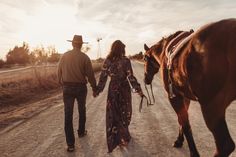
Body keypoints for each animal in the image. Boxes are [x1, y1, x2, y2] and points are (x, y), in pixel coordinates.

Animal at [143, 17, 235, 156]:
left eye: (144, 59)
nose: (145, 79)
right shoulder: (184, 96)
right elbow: (182, 120)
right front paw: (179, 140)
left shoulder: (174, 96)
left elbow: (185, 124)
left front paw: (192, 151)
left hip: (211, 106)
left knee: (225, 145)